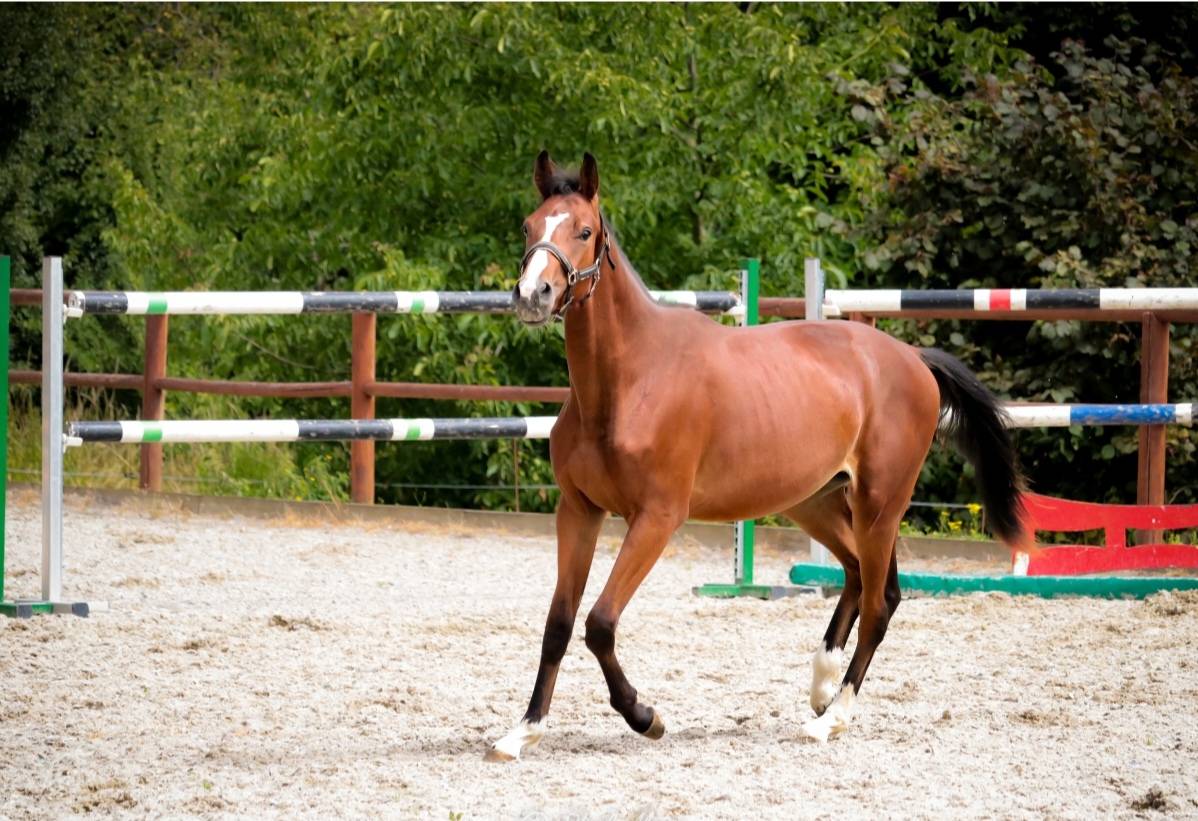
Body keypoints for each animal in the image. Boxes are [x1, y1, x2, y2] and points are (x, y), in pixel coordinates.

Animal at [486, 151, 1029, 761]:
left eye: (583, 231)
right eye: (529, 227)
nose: (532, 295)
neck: (629, 381)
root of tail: (912, 359)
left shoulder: (656, 518)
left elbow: (600, 621)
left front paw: (645, 717)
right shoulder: (578, 510)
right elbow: (559, 622)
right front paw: (523, 731)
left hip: (879, 504)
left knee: (879, 602)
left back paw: (831, 719)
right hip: (814, 501)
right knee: (858, 577)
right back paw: (821, 686)